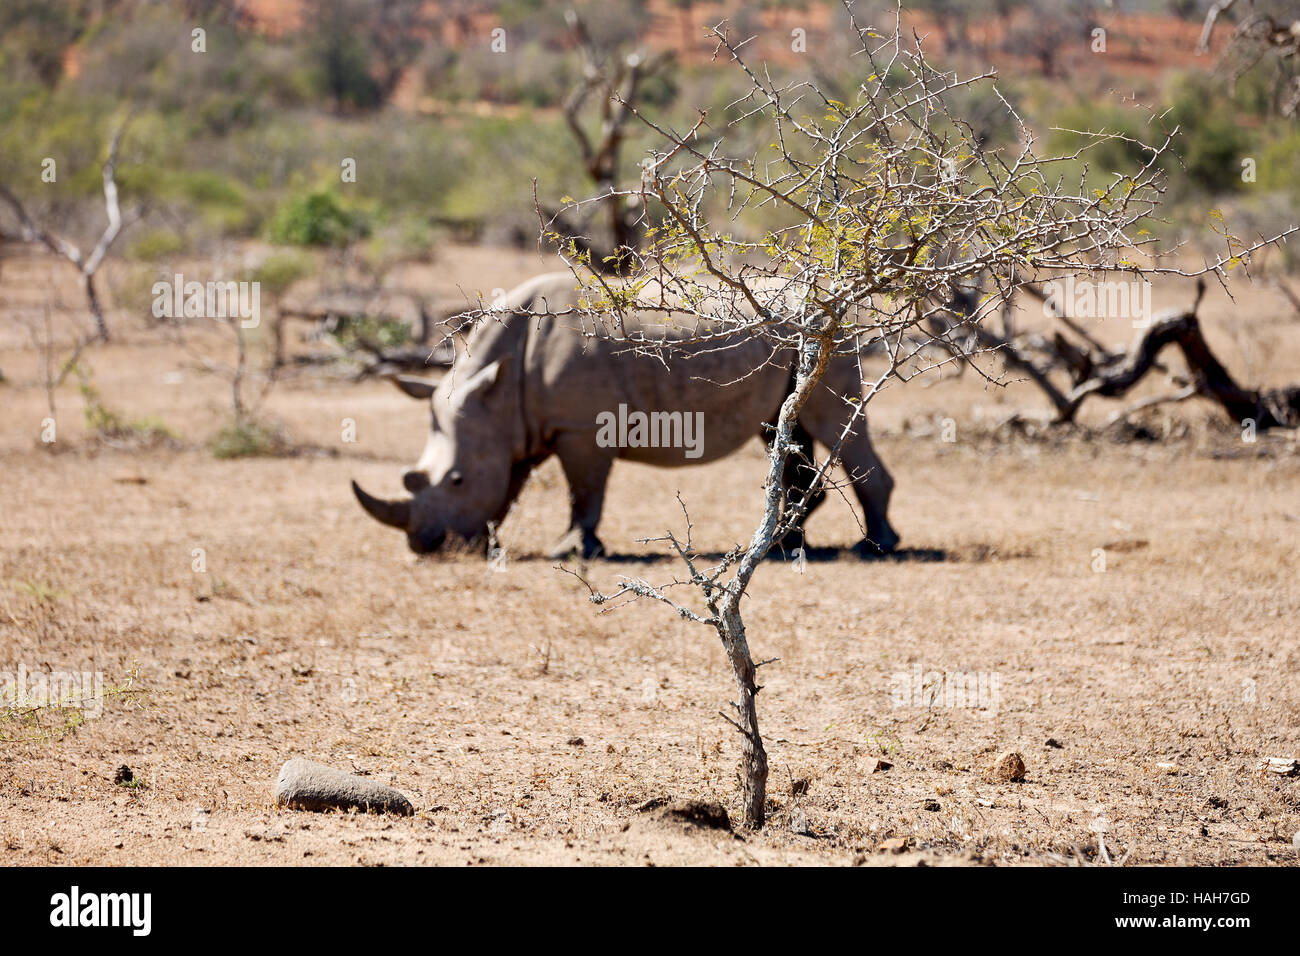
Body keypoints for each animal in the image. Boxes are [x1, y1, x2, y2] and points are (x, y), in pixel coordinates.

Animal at [352, 272, 899, 559]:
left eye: (458, 481)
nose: (424, 545)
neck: (499, 386)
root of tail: (836, 303)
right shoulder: (520, 429)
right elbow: (511, 488)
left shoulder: (578, 429)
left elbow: (583, 491)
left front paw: (571, 550)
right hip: (798, 345)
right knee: (786, 431)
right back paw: (783, 545)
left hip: (824, 336)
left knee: (837, 423)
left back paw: (874, 547)